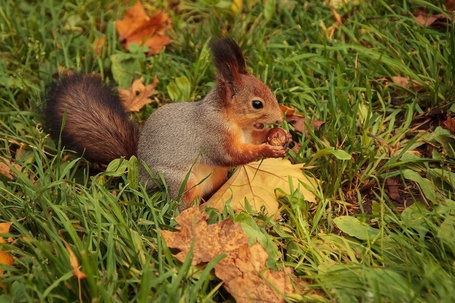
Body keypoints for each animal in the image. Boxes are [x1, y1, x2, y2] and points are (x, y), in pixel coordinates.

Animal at [46, 38, 288, 209]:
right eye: (257, 104)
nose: (279, 117)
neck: (230, 119)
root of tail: (140, 172)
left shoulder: (246, 134)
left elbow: (253, 140)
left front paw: (278, 134)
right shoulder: (213, 137)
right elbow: (232, 156)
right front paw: (268, 150)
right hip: (180, 181)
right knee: (182, 206)